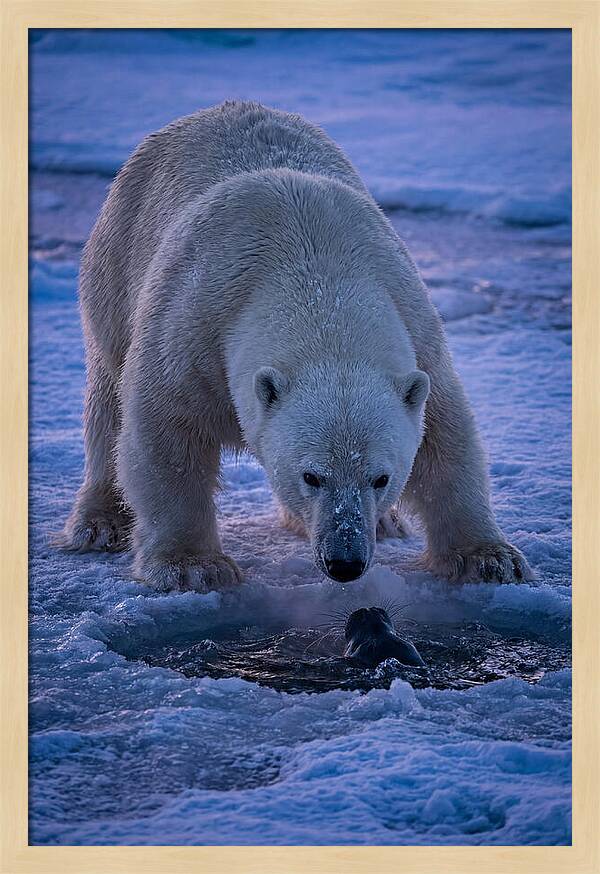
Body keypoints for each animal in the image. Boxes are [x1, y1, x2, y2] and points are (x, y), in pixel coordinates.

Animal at [61, 100, 533, 590]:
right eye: (312, 476)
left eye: (381, 478)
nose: (345, 562)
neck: (316, 271)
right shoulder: (193, 326)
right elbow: (167, 433)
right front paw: (192, 566)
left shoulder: (416, 329)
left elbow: (445, 437)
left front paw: (490, 559)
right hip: (115, 264)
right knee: (107, 399)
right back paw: (99, 522)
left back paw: (386, 523)